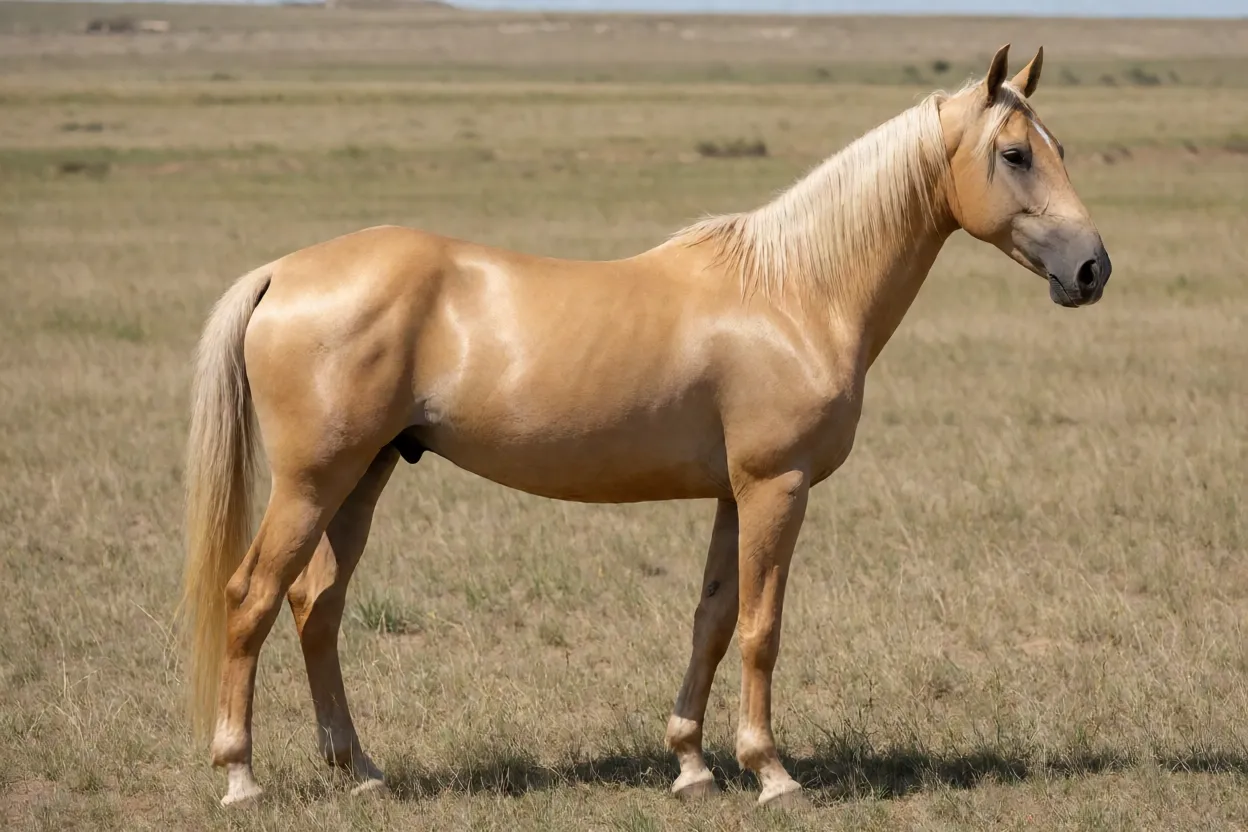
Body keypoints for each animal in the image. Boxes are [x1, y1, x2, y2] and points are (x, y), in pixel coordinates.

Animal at [180, 44, 1111, 808]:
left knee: (317, 607)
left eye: (1061, 148)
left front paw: (693, 765)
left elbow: (713, 620)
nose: (1092, 269)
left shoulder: (736, 495)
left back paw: (362, 771)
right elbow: (763, 629)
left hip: (363, 477)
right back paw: (241, 778)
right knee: (252, 598)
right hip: (312, 483)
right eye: (1017, 154)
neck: (795, 291)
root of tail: (281, 272)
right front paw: (772, 772)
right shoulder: (777, 487)